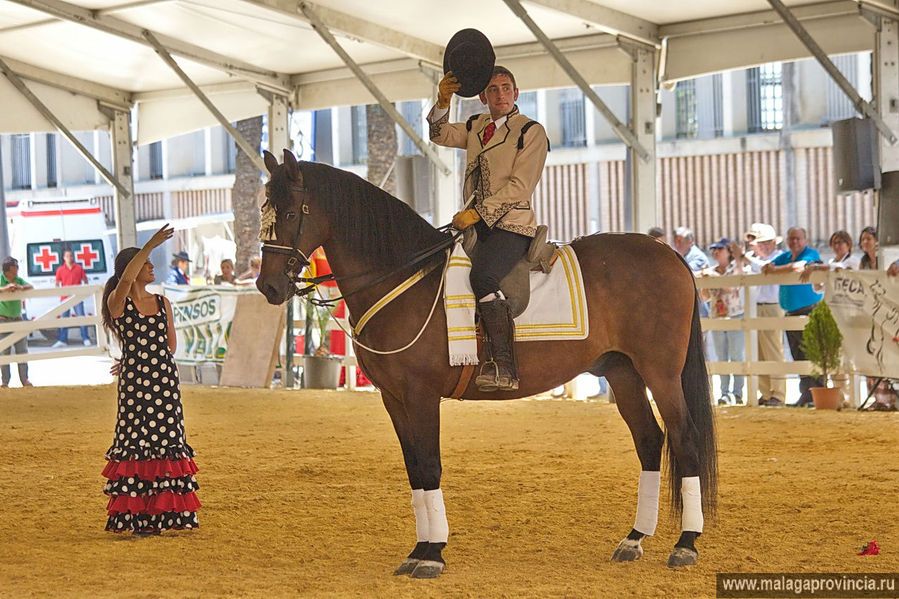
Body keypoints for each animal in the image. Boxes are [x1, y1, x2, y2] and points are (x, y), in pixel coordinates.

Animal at [258, 149, 716, 576]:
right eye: (264, 209)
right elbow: (414, 469)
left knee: (684, 438)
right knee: (649, 440)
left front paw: (433, 554)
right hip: (623, 372)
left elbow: (429, 465)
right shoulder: (394, 399)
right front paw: (417, 550)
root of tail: (664, 250)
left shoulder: (421, 396)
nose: (268, 286)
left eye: (288, 212)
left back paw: (686, 544)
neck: (404, 278)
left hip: (661, 373)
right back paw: (634, 538)